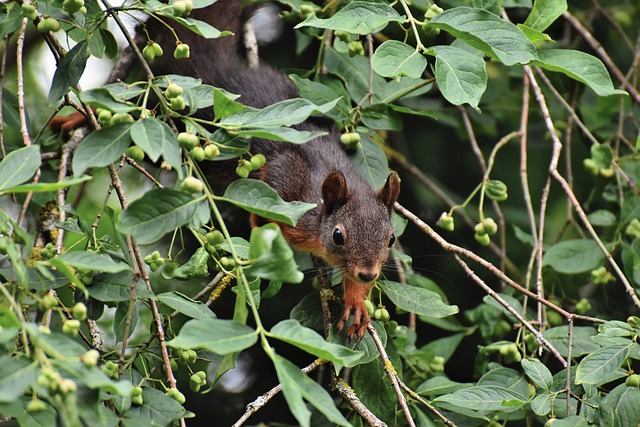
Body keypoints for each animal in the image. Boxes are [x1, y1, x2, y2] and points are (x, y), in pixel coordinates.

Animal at [52, 0, 400, 340]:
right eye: (338, 236)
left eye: (391, 239)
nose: (368, 272)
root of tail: (218, 74)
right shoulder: (290, 183)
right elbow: (271, 191)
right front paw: (262, 225)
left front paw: (357, 301)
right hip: (180, 124)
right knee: (137, 109)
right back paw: (83, 114)